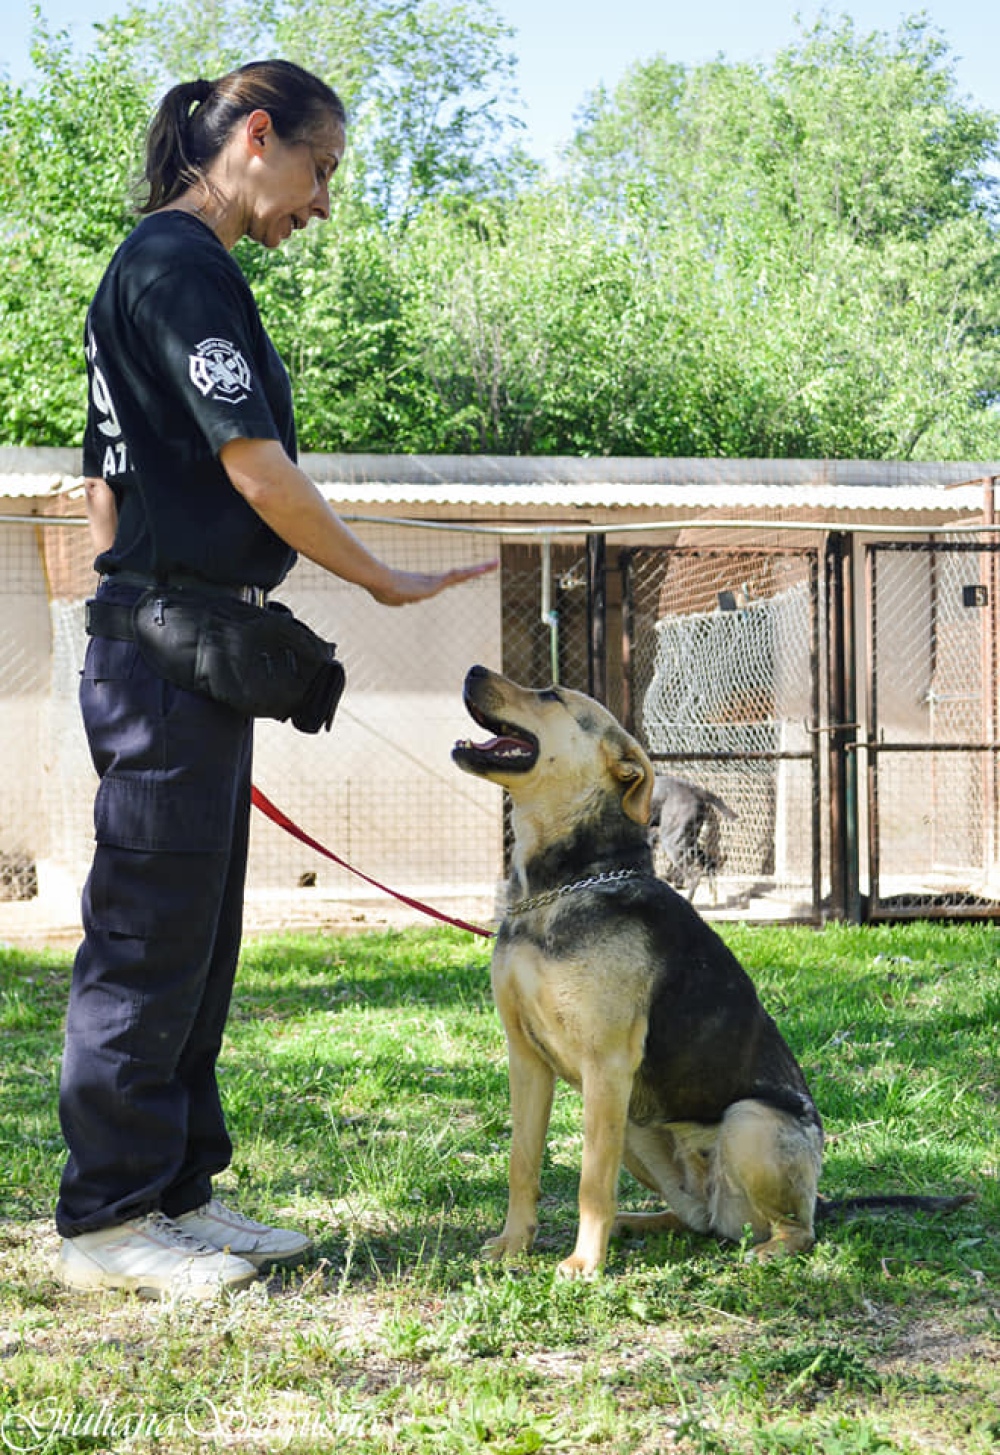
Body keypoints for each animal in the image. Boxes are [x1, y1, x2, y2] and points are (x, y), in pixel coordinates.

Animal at [454, 666, 972, 1280]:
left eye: (551, 695)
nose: (473, 672)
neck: (557, 888)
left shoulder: (607, 1065)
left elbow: (591, 1182)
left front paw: (583, 1263)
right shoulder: (527, 1059)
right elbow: (523, 1163)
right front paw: (514, 1245)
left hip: (747, 1123)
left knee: (797, 1231)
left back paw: (765, 1251)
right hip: (639, 1123)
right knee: (697, 1221)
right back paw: (640, 1222)